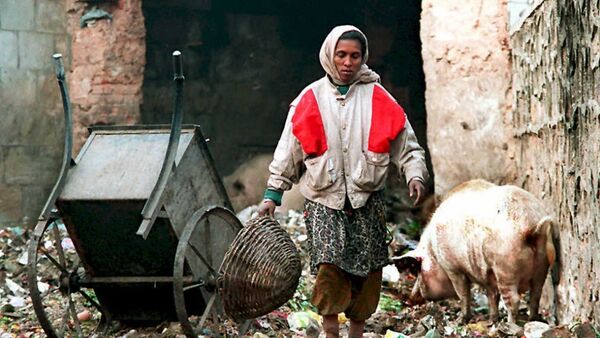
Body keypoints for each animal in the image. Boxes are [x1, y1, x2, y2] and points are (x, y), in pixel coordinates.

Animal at [394, 178, 556, 324]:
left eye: (418, 270)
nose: (410, 300)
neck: (433, 251)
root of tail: (532, 227)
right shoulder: (489, 275)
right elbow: (492, 296)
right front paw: (491, 320)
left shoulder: (452, 267)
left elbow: (463, 294)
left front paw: (460, 321)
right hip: (542, 265)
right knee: (536, 294)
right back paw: (532, 320)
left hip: (506, 267)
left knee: (514, 299)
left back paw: (509, 326)